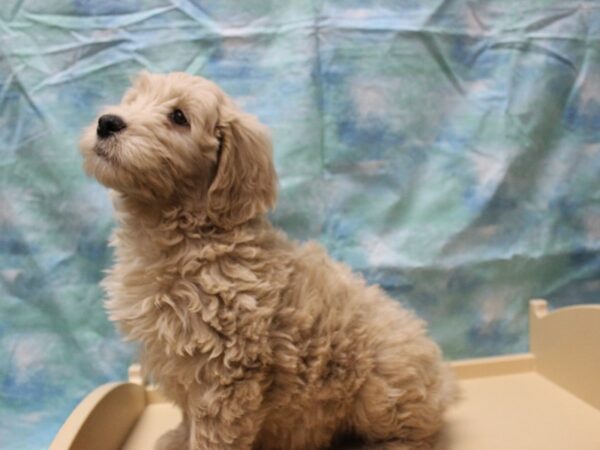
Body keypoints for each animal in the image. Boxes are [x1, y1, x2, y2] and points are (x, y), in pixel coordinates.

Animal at [78, 72, 454, 448]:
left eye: (179, 117)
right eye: (132, 100)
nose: (107, 122)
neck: (186, 234)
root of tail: (441, 376)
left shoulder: (226, 371)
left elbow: (212, 435)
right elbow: (188, 417)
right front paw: (177, 437)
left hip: (382, 387)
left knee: (415, 433)